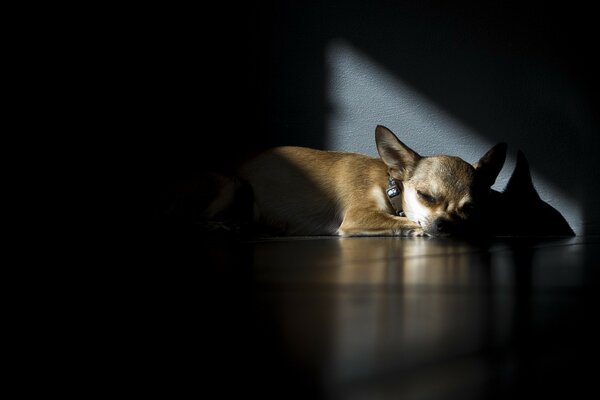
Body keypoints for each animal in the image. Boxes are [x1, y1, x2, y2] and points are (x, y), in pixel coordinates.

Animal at [232, 126, 508, 236]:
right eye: (426, 196)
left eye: (470, 208)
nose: (445, 224)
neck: (390, 187)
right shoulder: (358, 216)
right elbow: (406, 221)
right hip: (237, 188)